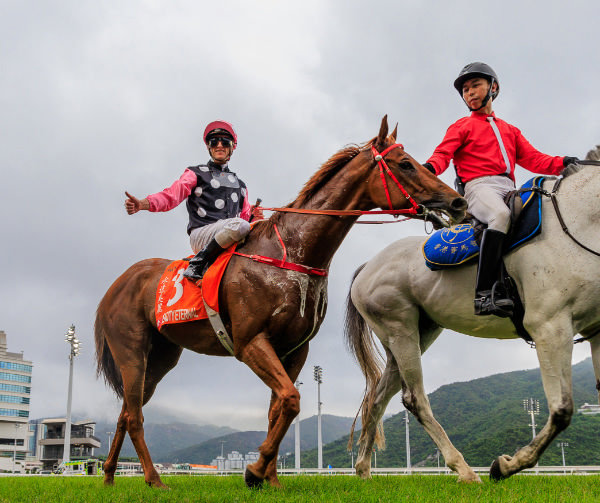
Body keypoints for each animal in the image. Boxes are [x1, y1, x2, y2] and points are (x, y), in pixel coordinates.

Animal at [96, 117, 466, 488]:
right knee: (135, 416)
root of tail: (116, 285)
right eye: (405, 164)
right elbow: (291, 399)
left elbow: (279, 409)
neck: (290, 254)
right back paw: (154, 479)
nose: (457, 202)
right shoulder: (250, 343)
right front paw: (255, 469)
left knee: (126, 411)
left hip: (161, 357)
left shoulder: (294, 349)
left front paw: (269, 478)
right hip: (132, 351)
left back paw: (110, 476)